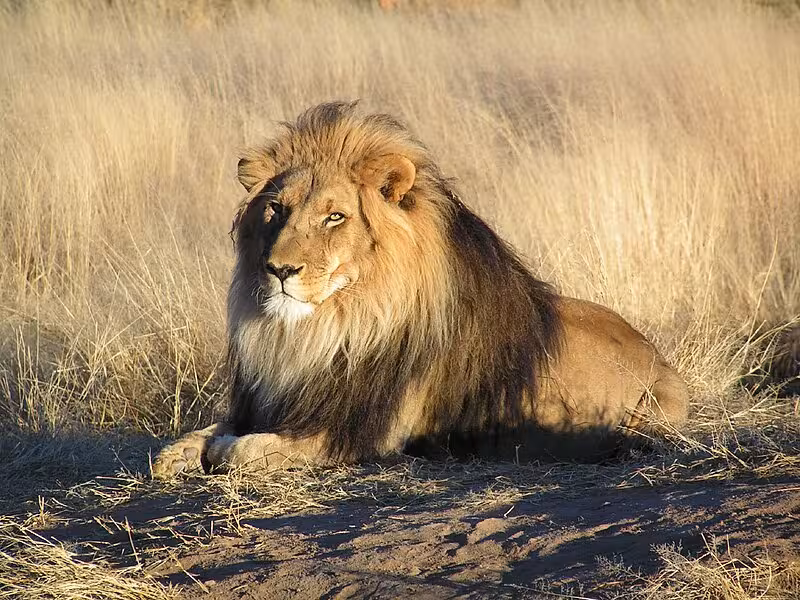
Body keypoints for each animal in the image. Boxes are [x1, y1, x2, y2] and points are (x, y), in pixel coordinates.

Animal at [152, 102, 689, 479]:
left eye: (335, 216)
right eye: (276, 209)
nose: (279, 269)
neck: (325, 329)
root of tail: (659, 355)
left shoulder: (363, 433)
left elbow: (243, 450)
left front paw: (223, 451)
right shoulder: (272, 402)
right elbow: (199, 435)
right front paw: (178, 454)